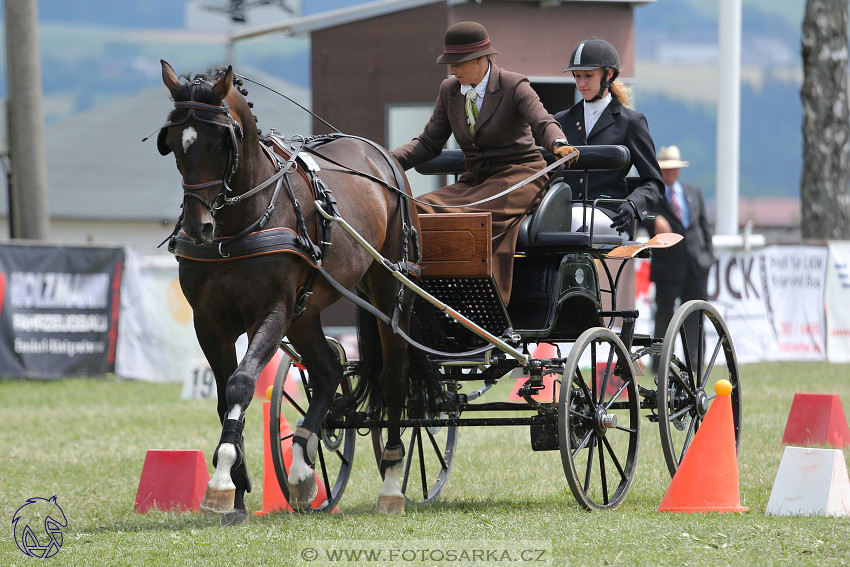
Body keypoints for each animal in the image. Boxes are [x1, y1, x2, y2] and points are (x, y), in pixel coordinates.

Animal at [154, 61, 420, 524]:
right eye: (173, 144)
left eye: (219, 142)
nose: (197, 227)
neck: (238, 227)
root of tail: (382, 157)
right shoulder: (209, 324)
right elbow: (224, 397)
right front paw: (238, 490)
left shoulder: (272, 312)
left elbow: (242, 384)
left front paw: (222, 479)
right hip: (305, 313)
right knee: (329, 370)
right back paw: (301, 468)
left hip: (387, 294)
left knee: (392, 380)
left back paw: (390, 483)